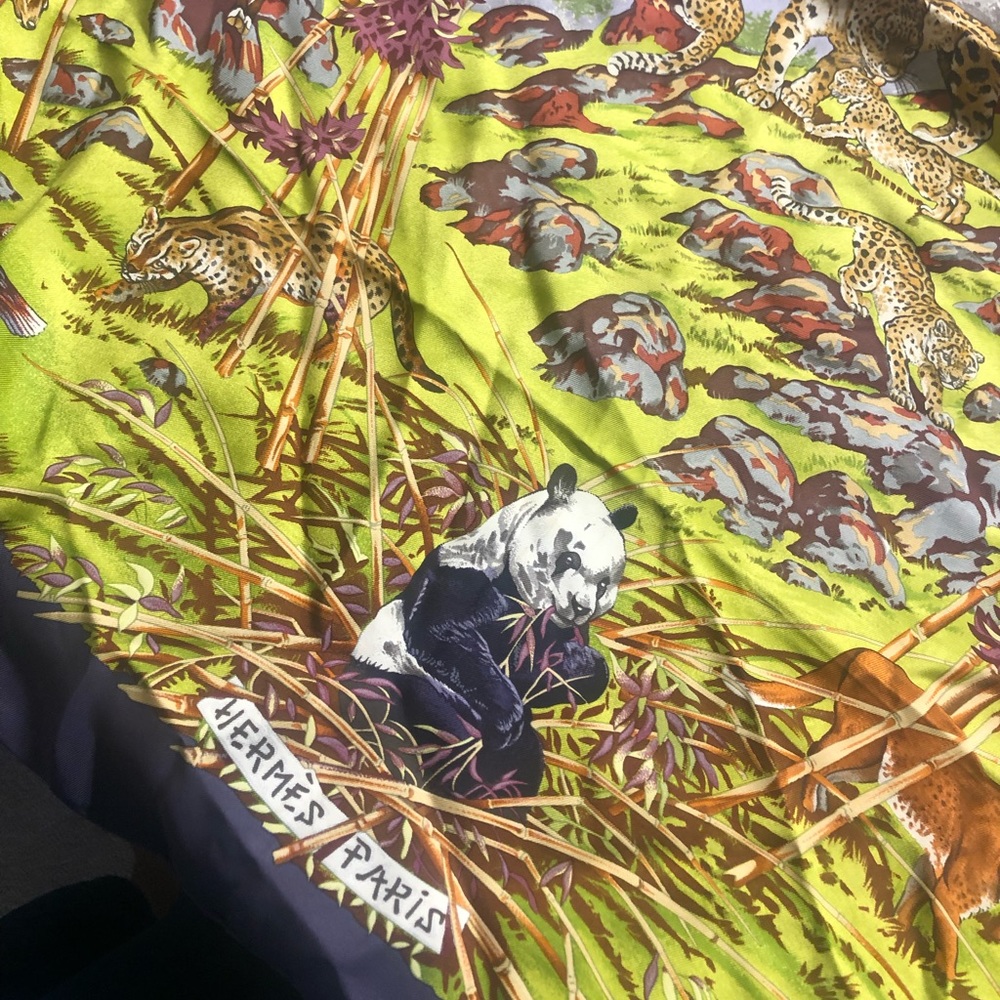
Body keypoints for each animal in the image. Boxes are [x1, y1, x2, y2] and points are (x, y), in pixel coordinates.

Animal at [350, 464, 636, 801]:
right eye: (570, 558)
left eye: (604, 585)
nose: (580, 606)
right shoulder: (462, 578)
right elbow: (442, 638)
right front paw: (505, 717)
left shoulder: (550, 630)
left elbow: (557, 672)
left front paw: (578, 664)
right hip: (398, 685)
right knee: (415, 719)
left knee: (523, 761)